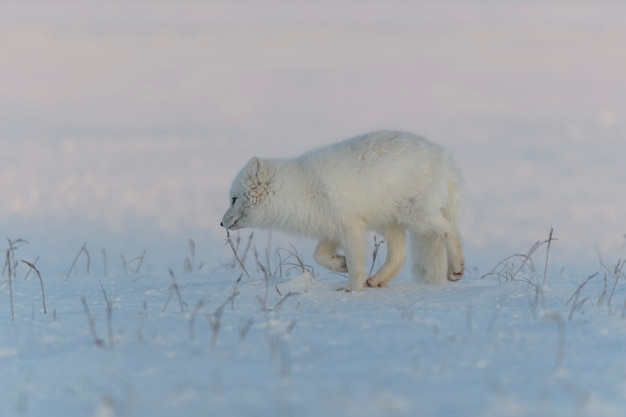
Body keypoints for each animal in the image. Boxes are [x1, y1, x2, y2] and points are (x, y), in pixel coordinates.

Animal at [221, 130, 464, 290]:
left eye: (233, 199)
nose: (221, 223)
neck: (300, 190)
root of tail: (445, 156)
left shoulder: (351, 228)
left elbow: (356, 264)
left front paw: (351, 291)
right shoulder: (330, 228)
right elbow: (318, 256)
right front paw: (340, 264)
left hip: (416, 214)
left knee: (450, 229)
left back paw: (457, 268)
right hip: (388, 222)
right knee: (399, 254)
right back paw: (377, 280)